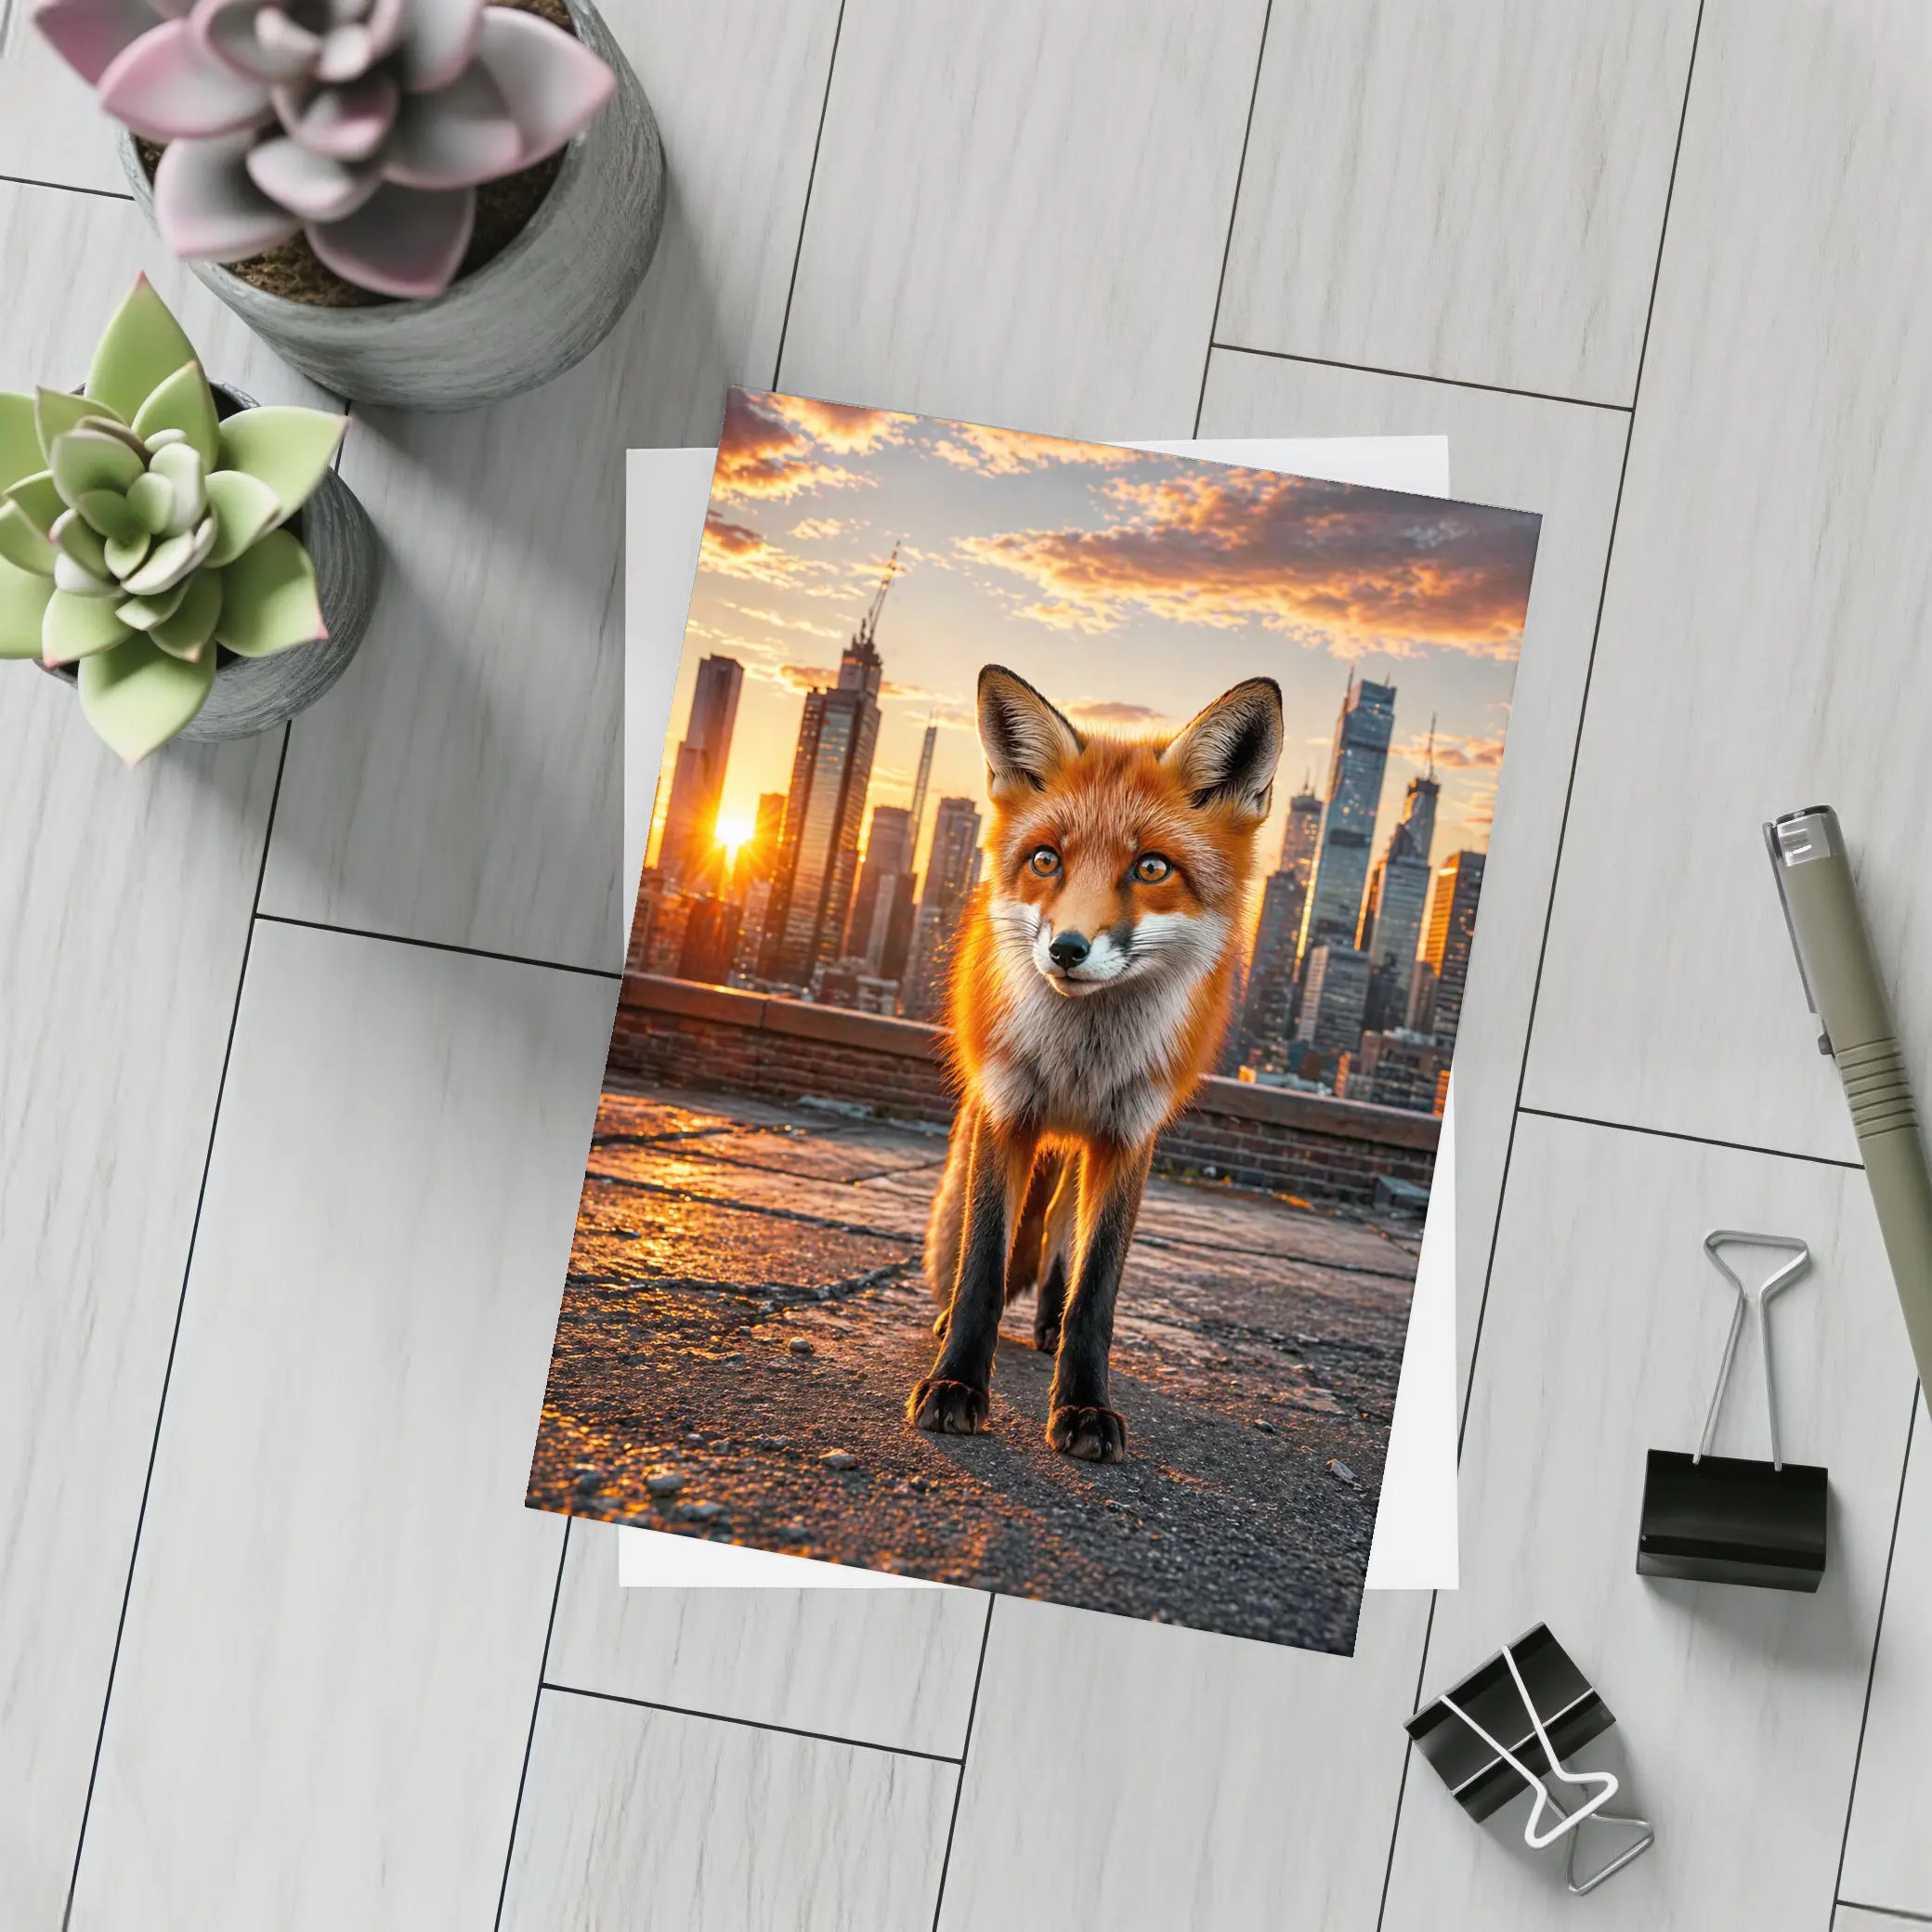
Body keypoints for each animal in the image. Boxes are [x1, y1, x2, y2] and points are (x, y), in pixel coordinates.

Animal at [909, 663, 1285, 1462]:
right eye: (1046, 860)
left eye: (1152, 867)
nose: (1067, 950)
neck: (1082, 1061)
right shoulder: (1008, 1112)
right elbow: (983, 1268)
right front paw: (957, 1383)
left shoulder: (1127, 1136)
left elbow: (1095, 1289)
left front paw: (1083, 1404)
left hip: (1079, 1152)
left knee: (1058, 1239)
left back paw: (1048, 1327)